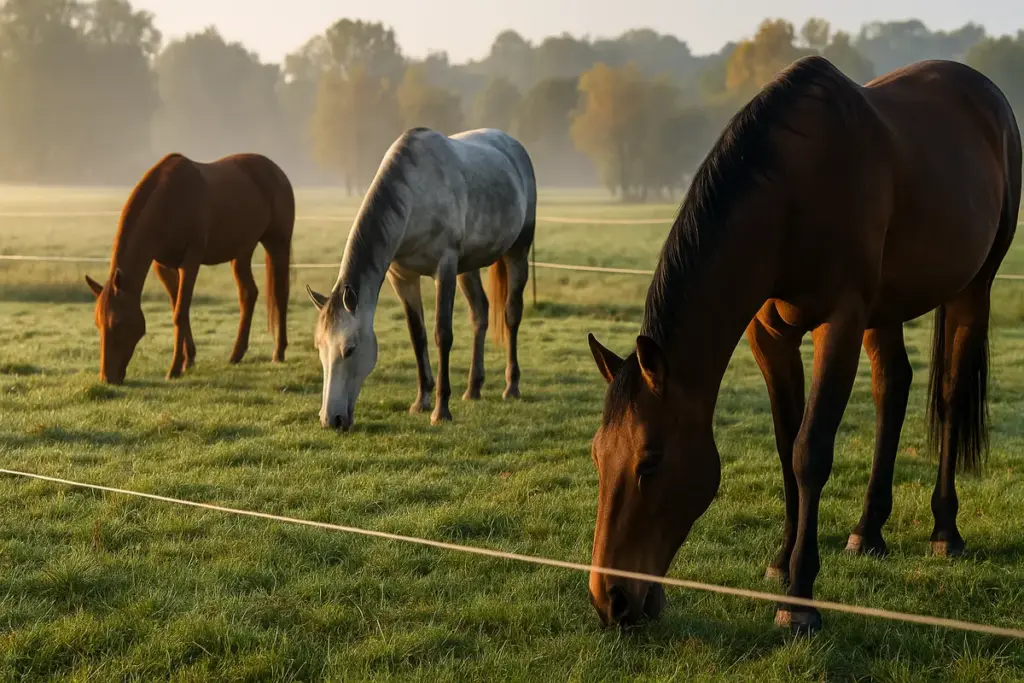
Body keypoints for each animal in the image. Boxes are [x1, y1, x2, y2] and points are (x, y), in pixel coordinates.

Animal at [85, 152, 295, 384]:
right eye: (98, 324)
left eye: (118, 323)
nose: (107, 378)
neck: (168, 202)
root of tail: (277, 171)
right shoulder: (163, 265)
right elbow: (177, 308)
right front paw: (189, 360)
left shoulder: (190, 262)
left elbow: (180, 312)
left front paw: (174, 369)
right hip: (242, 251)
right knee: (248, 293)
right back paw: (236, 355)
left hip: (278, 243)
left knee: (280, 294)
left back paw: (278, 353)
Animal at [305, 127, 536, 431]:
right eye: (319, 347)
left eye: (351, 349)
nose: (331, 419)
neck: (415, 198)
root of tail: (513, 145)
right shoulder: (403, 278)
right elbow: (418, 336)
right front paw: (420, 402)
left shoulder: (445, 268)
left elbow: (442, 334)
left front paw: (441, 411)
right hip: (468, 267)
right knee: (480, 313)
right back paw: (473, 388)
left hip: (517, 251)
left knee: (512, 314)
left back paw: (511, 387)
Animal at [585, 56, 1021, 635]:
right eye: (597, 455)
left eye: (650, 461)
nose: (609, 599)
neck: (792, 196)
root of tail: (986, 94)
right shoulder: (770, 335)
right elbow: (784, 442)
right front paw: (781, 559)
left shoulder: (839, 324)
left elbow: (809, 452)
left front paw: (799, 600)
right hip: (886, 310)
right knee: (893, 388)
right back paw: (868, 530)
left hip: (974, 288)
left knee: (950, 396)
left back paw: (945, 531)